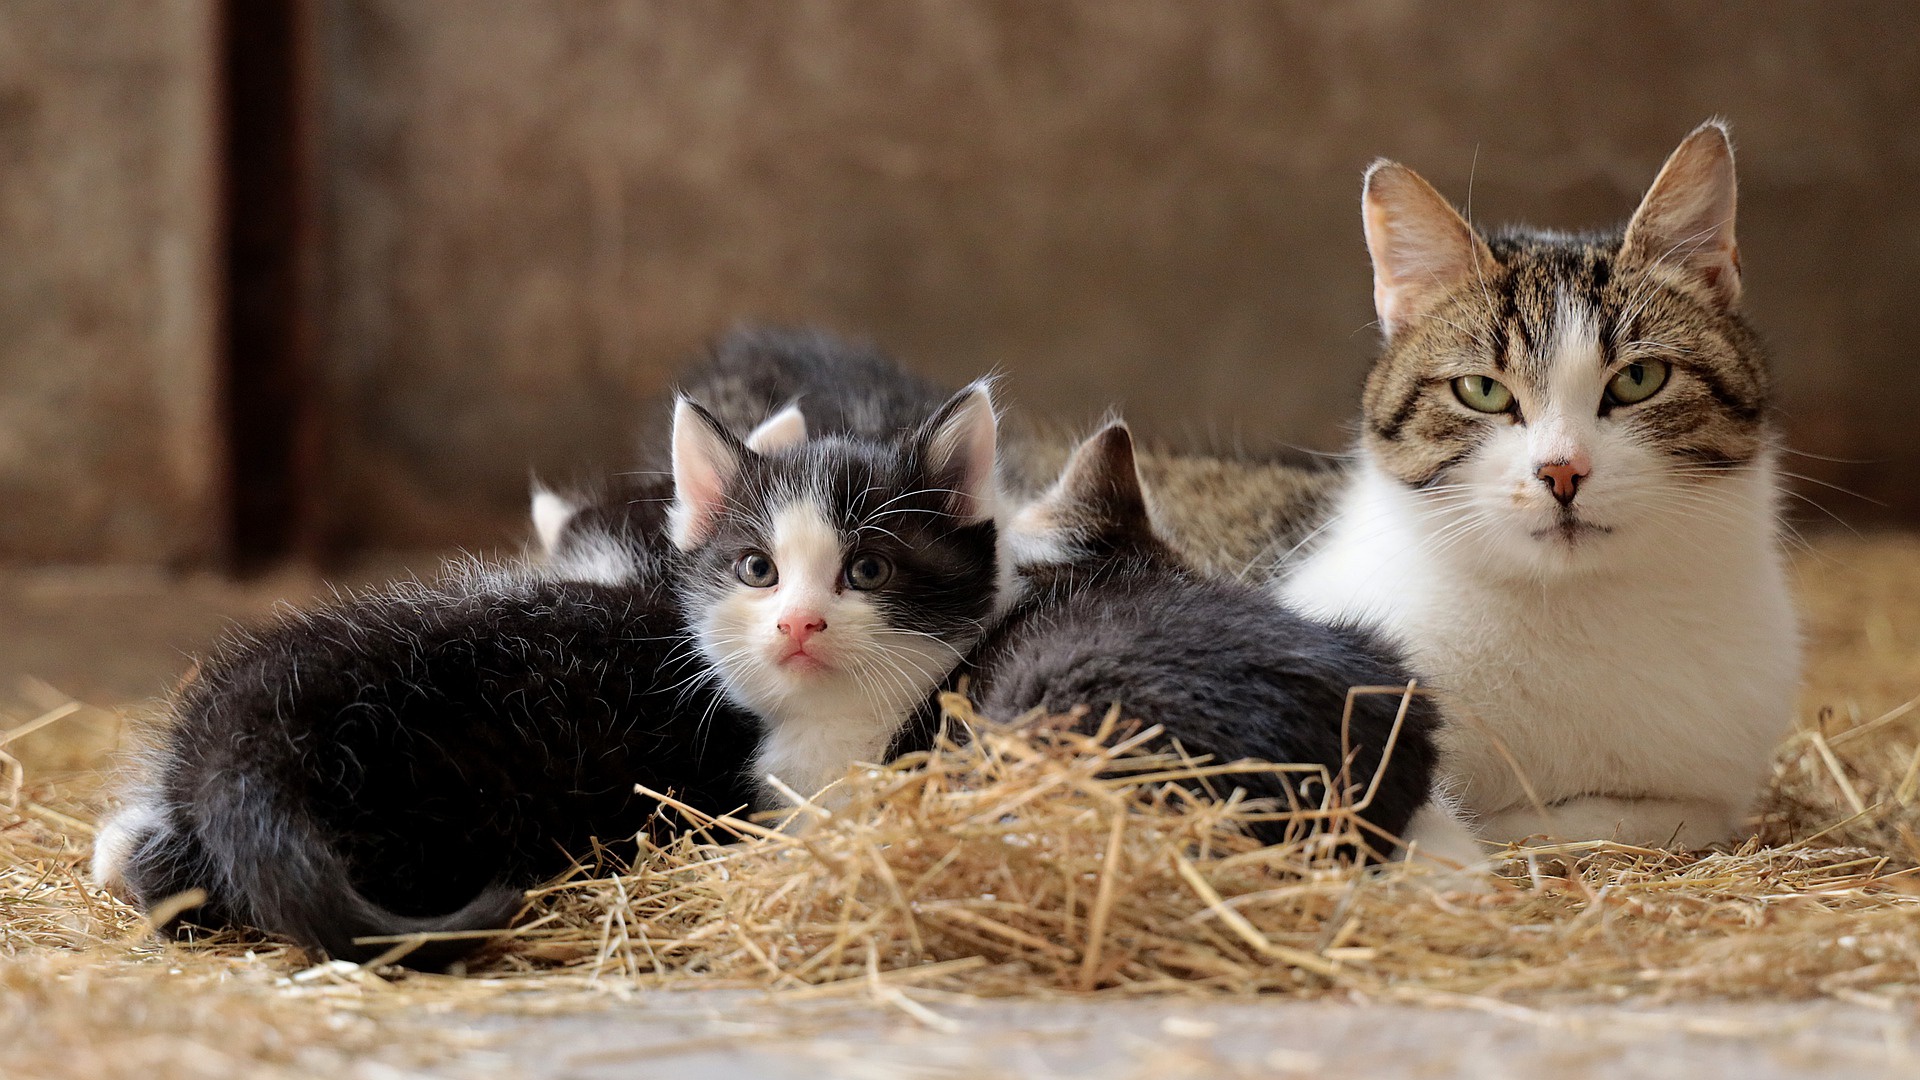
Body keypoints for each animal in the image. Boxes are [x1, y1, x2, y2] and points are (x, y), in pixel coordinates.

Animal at [1274, 123, 1797, 849]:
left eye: (1640, 380)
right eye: (1481, 390)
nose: (1562, 471)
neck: (1568, 607)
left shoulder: (1702, 791)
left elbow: (1628, 816)